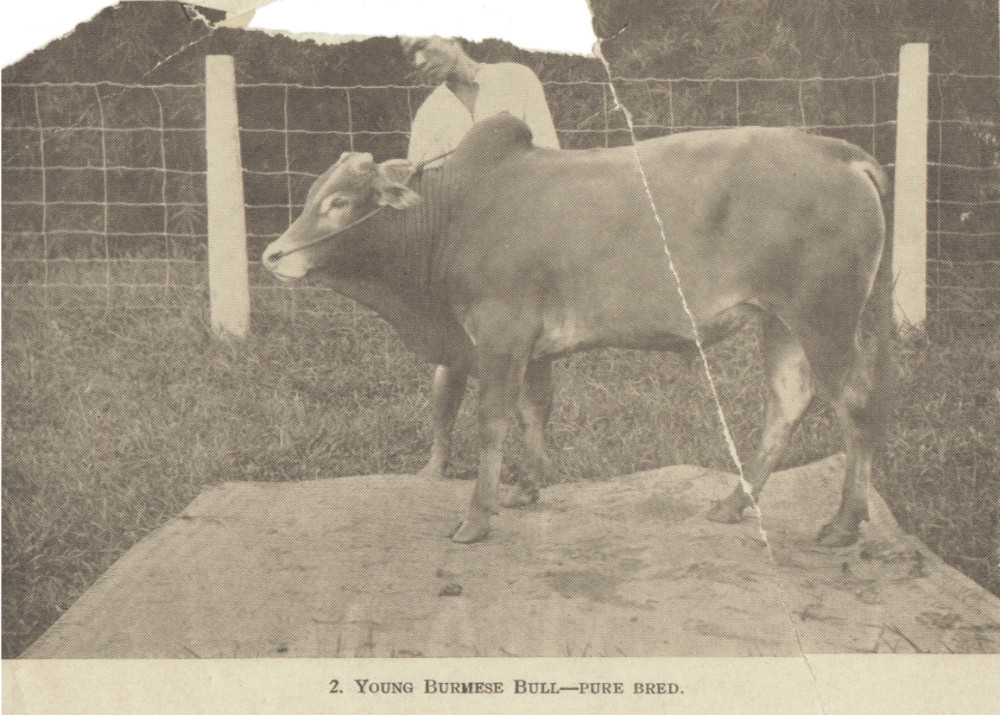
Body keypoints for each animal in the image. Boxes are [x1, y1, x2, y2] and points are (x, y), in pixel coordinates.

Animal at [263, 113, 893, 547]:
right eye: (313, 194)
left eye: (340, 202)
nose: (272, 255)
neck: (451, 215)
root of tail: (837, 152)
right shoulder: (531, 349)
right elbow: (533, 412)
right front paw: (526, 488)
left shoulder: (500, 333)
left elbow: (492, 421)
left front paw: (476, 517)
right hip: (781, 322)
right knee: (788, 403)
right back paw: (733, 504)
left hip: (825, 317)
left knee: (857, 405)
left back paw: (843, 523)